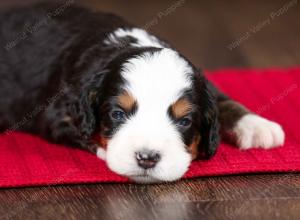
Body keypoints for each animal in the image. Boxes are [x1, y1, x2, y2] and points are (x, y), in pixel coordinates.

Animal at [0, 3, 284, 182]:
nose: (147, 158)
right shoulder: (57, 113)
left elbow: (222, 101)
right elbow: (91, 138)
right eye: (117, 114)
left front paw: (256, 125)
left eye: (184, 121)